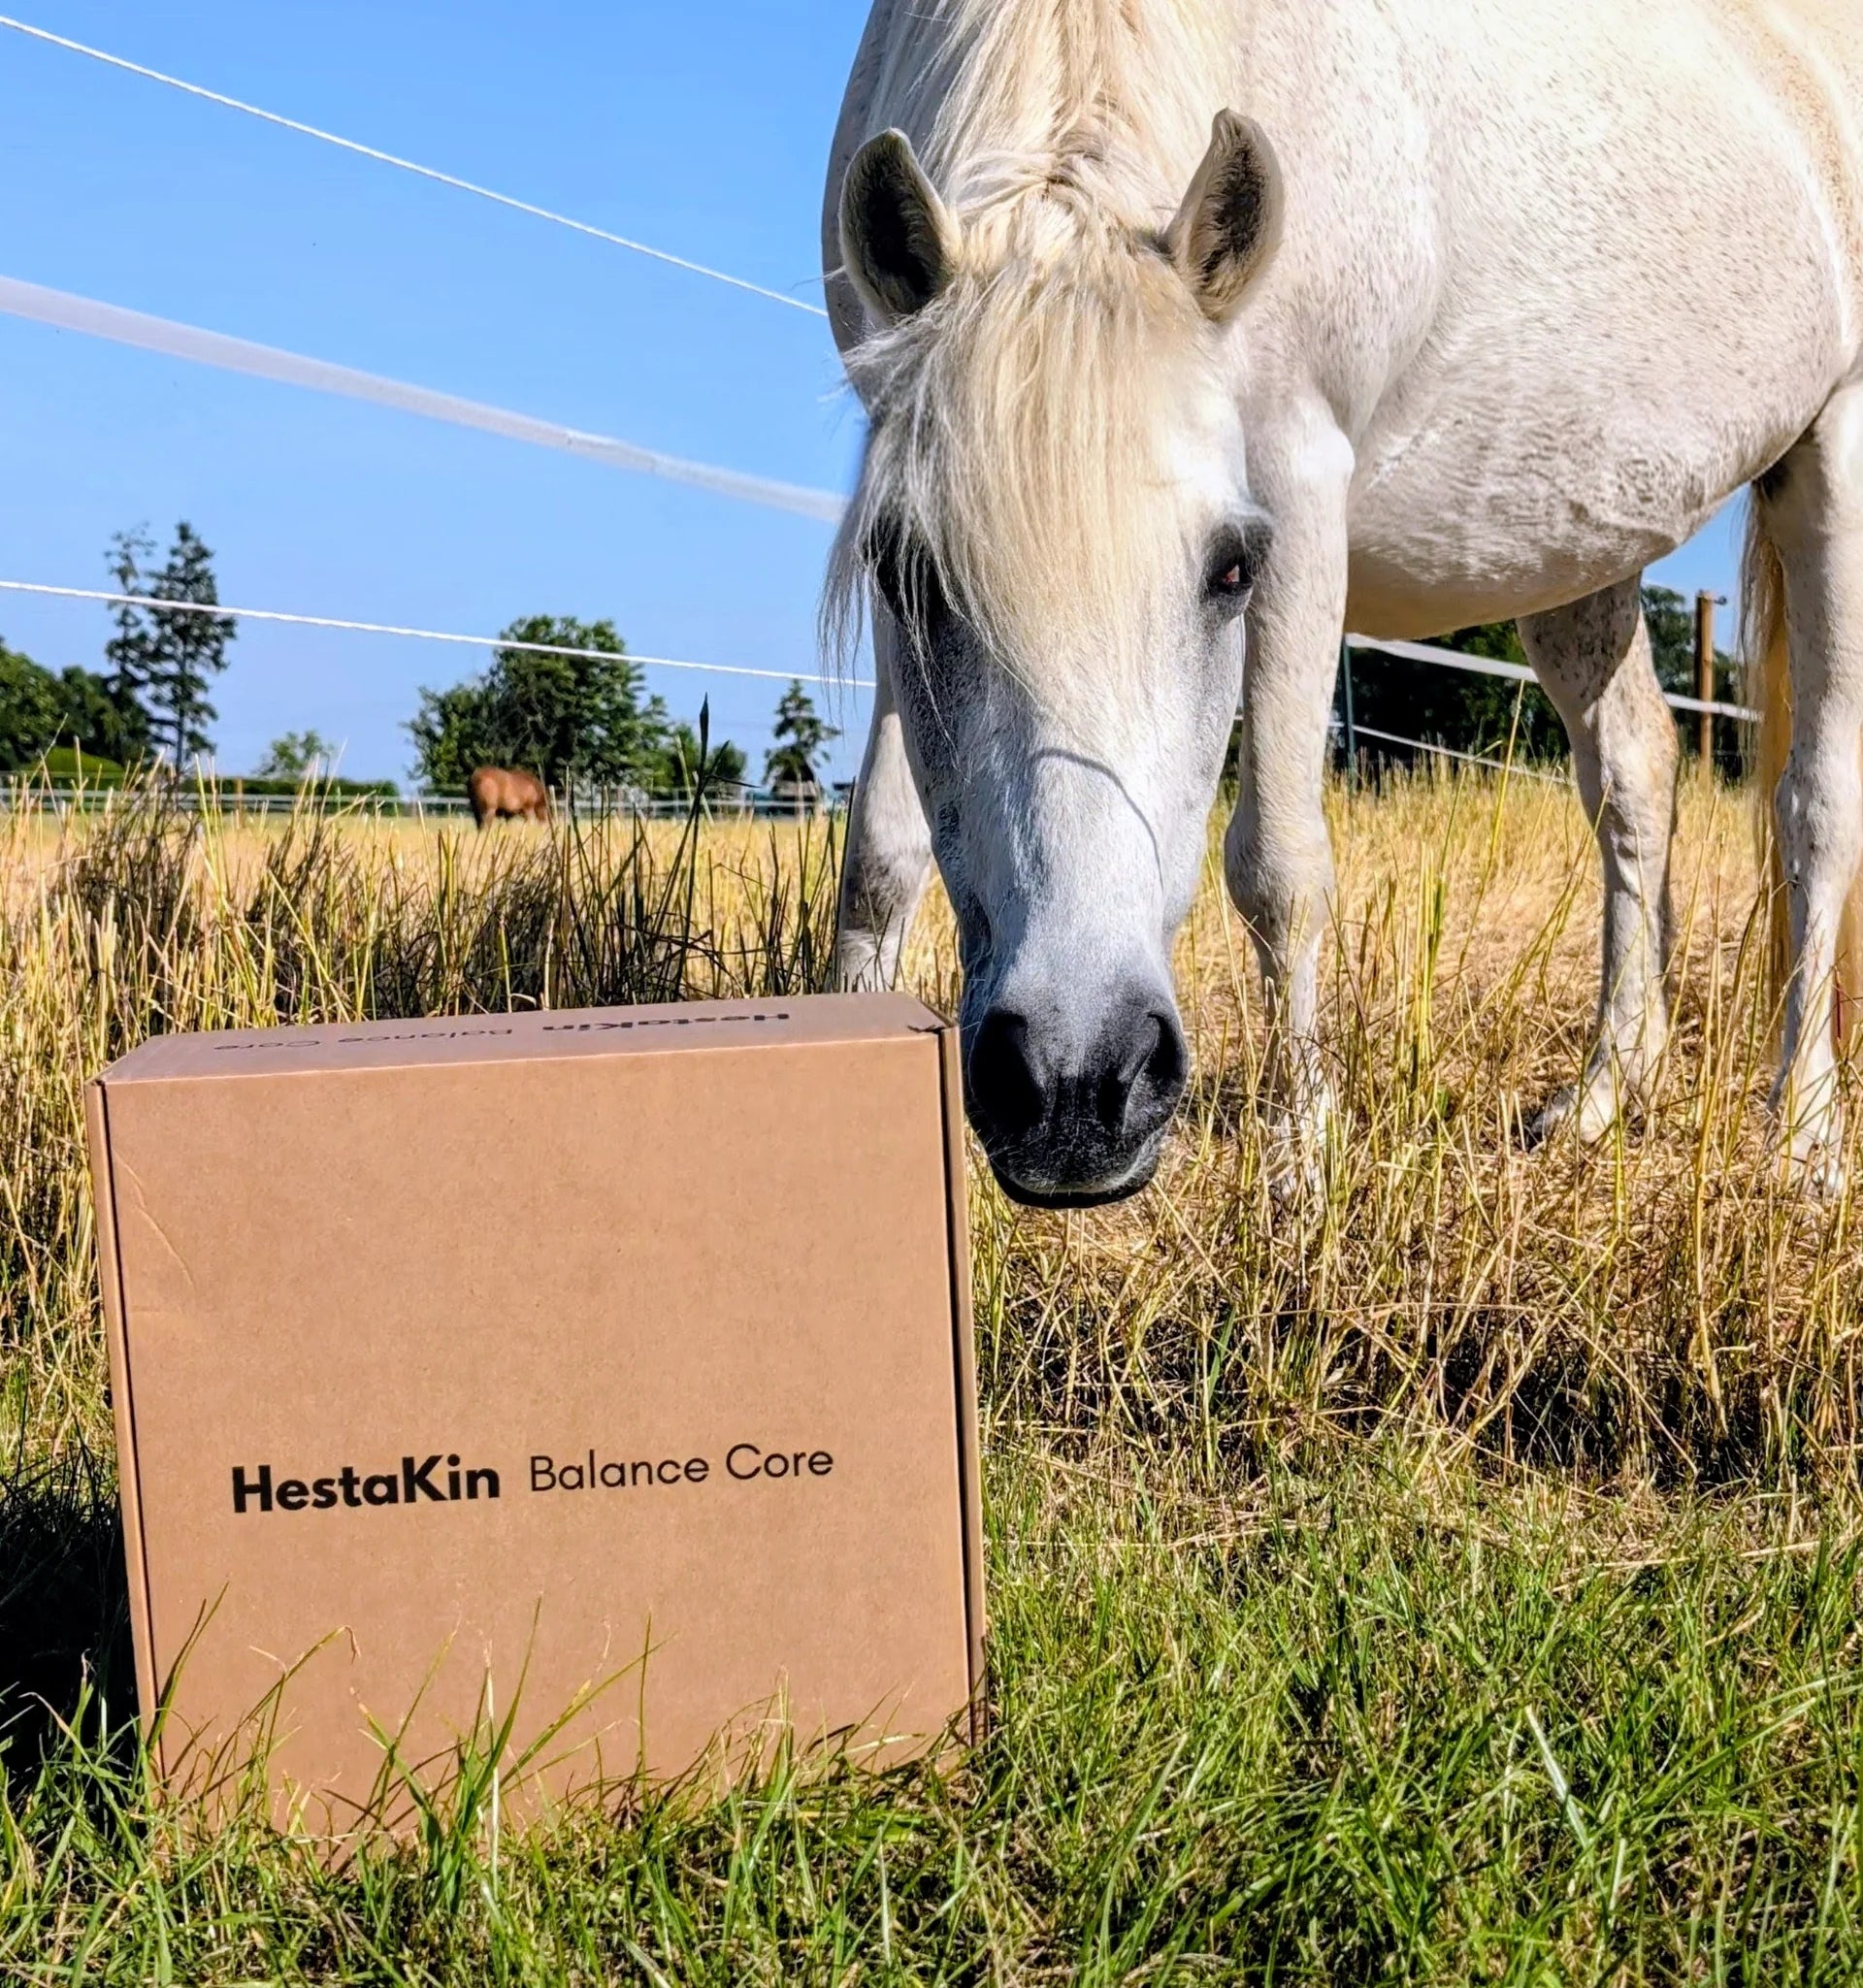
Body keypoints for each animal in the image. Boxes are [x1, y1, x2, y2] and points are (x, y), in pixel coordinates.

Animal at [821, 0, 1863, 1209]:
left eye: (1232, 569)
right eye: (902, 571)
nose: (1072, 1091)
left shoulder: (1297, 488)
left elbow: (1279, 865)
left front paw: (1300, 1166)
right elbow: (879, 858)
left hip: (1832, 455)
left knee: (1814, 806)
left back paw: (1802, 1134)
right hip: (1579, 550)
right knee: (1638, 780)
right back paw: (1607, 1090)